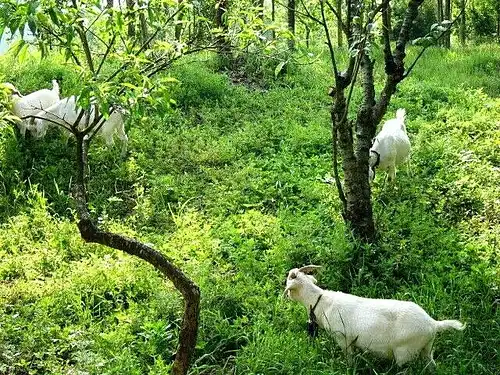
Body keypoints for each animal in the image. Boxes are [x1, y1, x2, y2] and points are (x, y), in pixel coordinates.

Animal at [286, 268, 464, 370]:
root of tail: (433, 324)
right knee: (431, 365)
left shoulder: (343, 338)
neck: (322, 302)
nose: (286, 296)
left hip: (405, 352)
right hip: (426, 348)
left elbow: (349, 359)